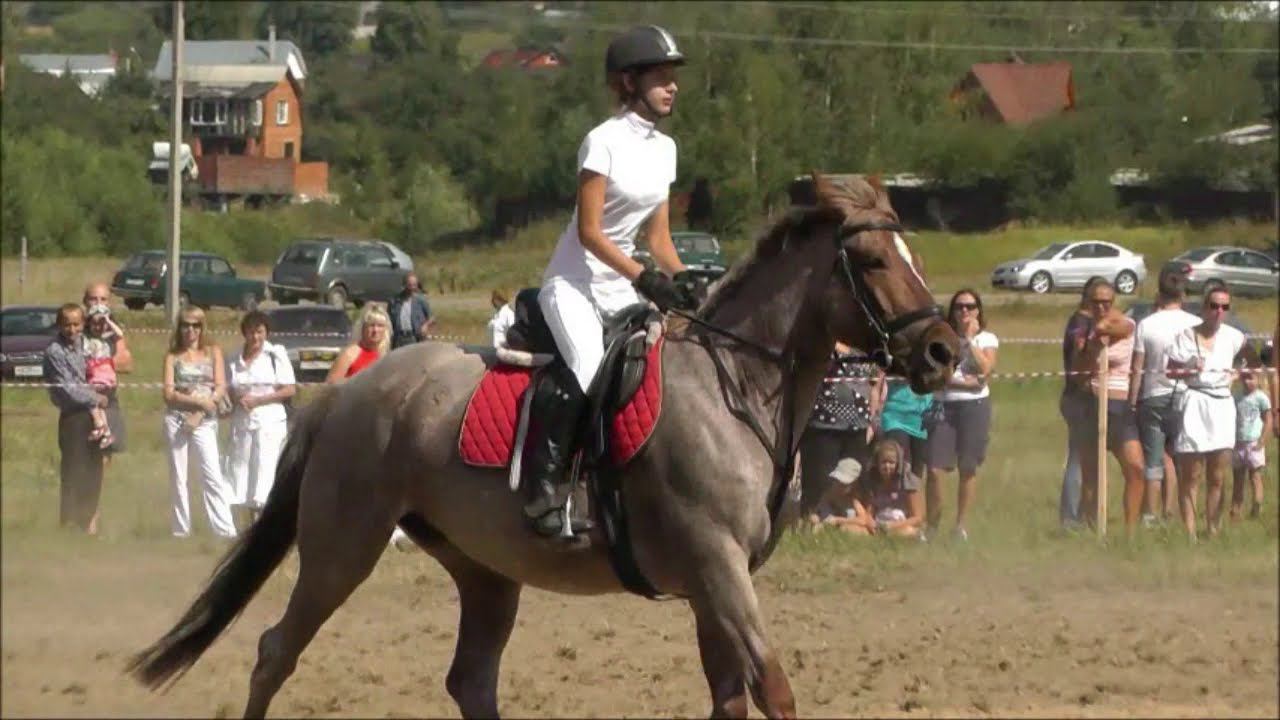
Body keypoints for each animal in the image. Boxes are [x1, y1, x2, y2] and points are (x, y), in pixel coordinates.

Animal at [127, 175, 962, 717]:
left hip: (485, 569)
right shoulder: (717, 567)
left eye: (913, 257)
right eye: (876, 263)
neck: (737, 388)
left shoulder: (714, 582)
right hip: (343, 547)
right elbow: (772, 688)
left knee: (470, 680)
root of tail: (347, 393)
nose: (944, 353)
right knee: (276, 650)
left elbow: (732, 696)